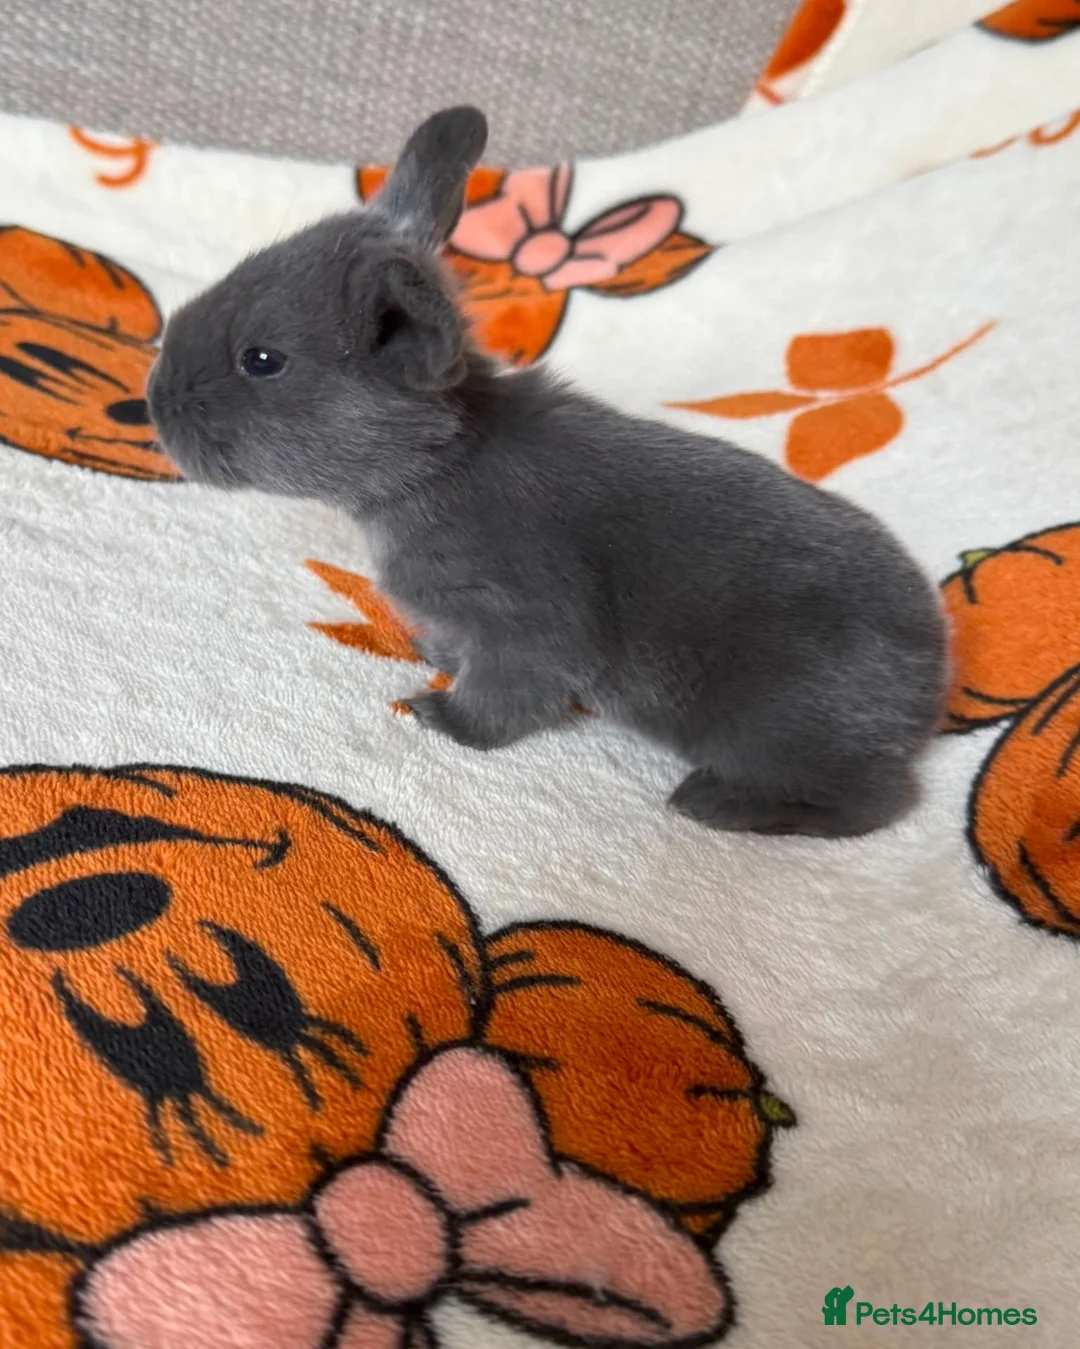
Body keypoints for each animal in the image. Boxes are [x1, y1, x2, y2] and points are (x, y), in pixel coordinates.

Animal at [149, 106, 948, 838]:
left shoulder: (526, 625)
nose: (153, 399)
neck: (440, 467)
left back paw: (712, 802)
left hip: (770, 732)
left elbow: (500, 701)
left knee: (876, 802)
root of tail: (932, 678)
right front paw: (432, 653)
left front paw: (436, 713)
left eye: (262, 359)